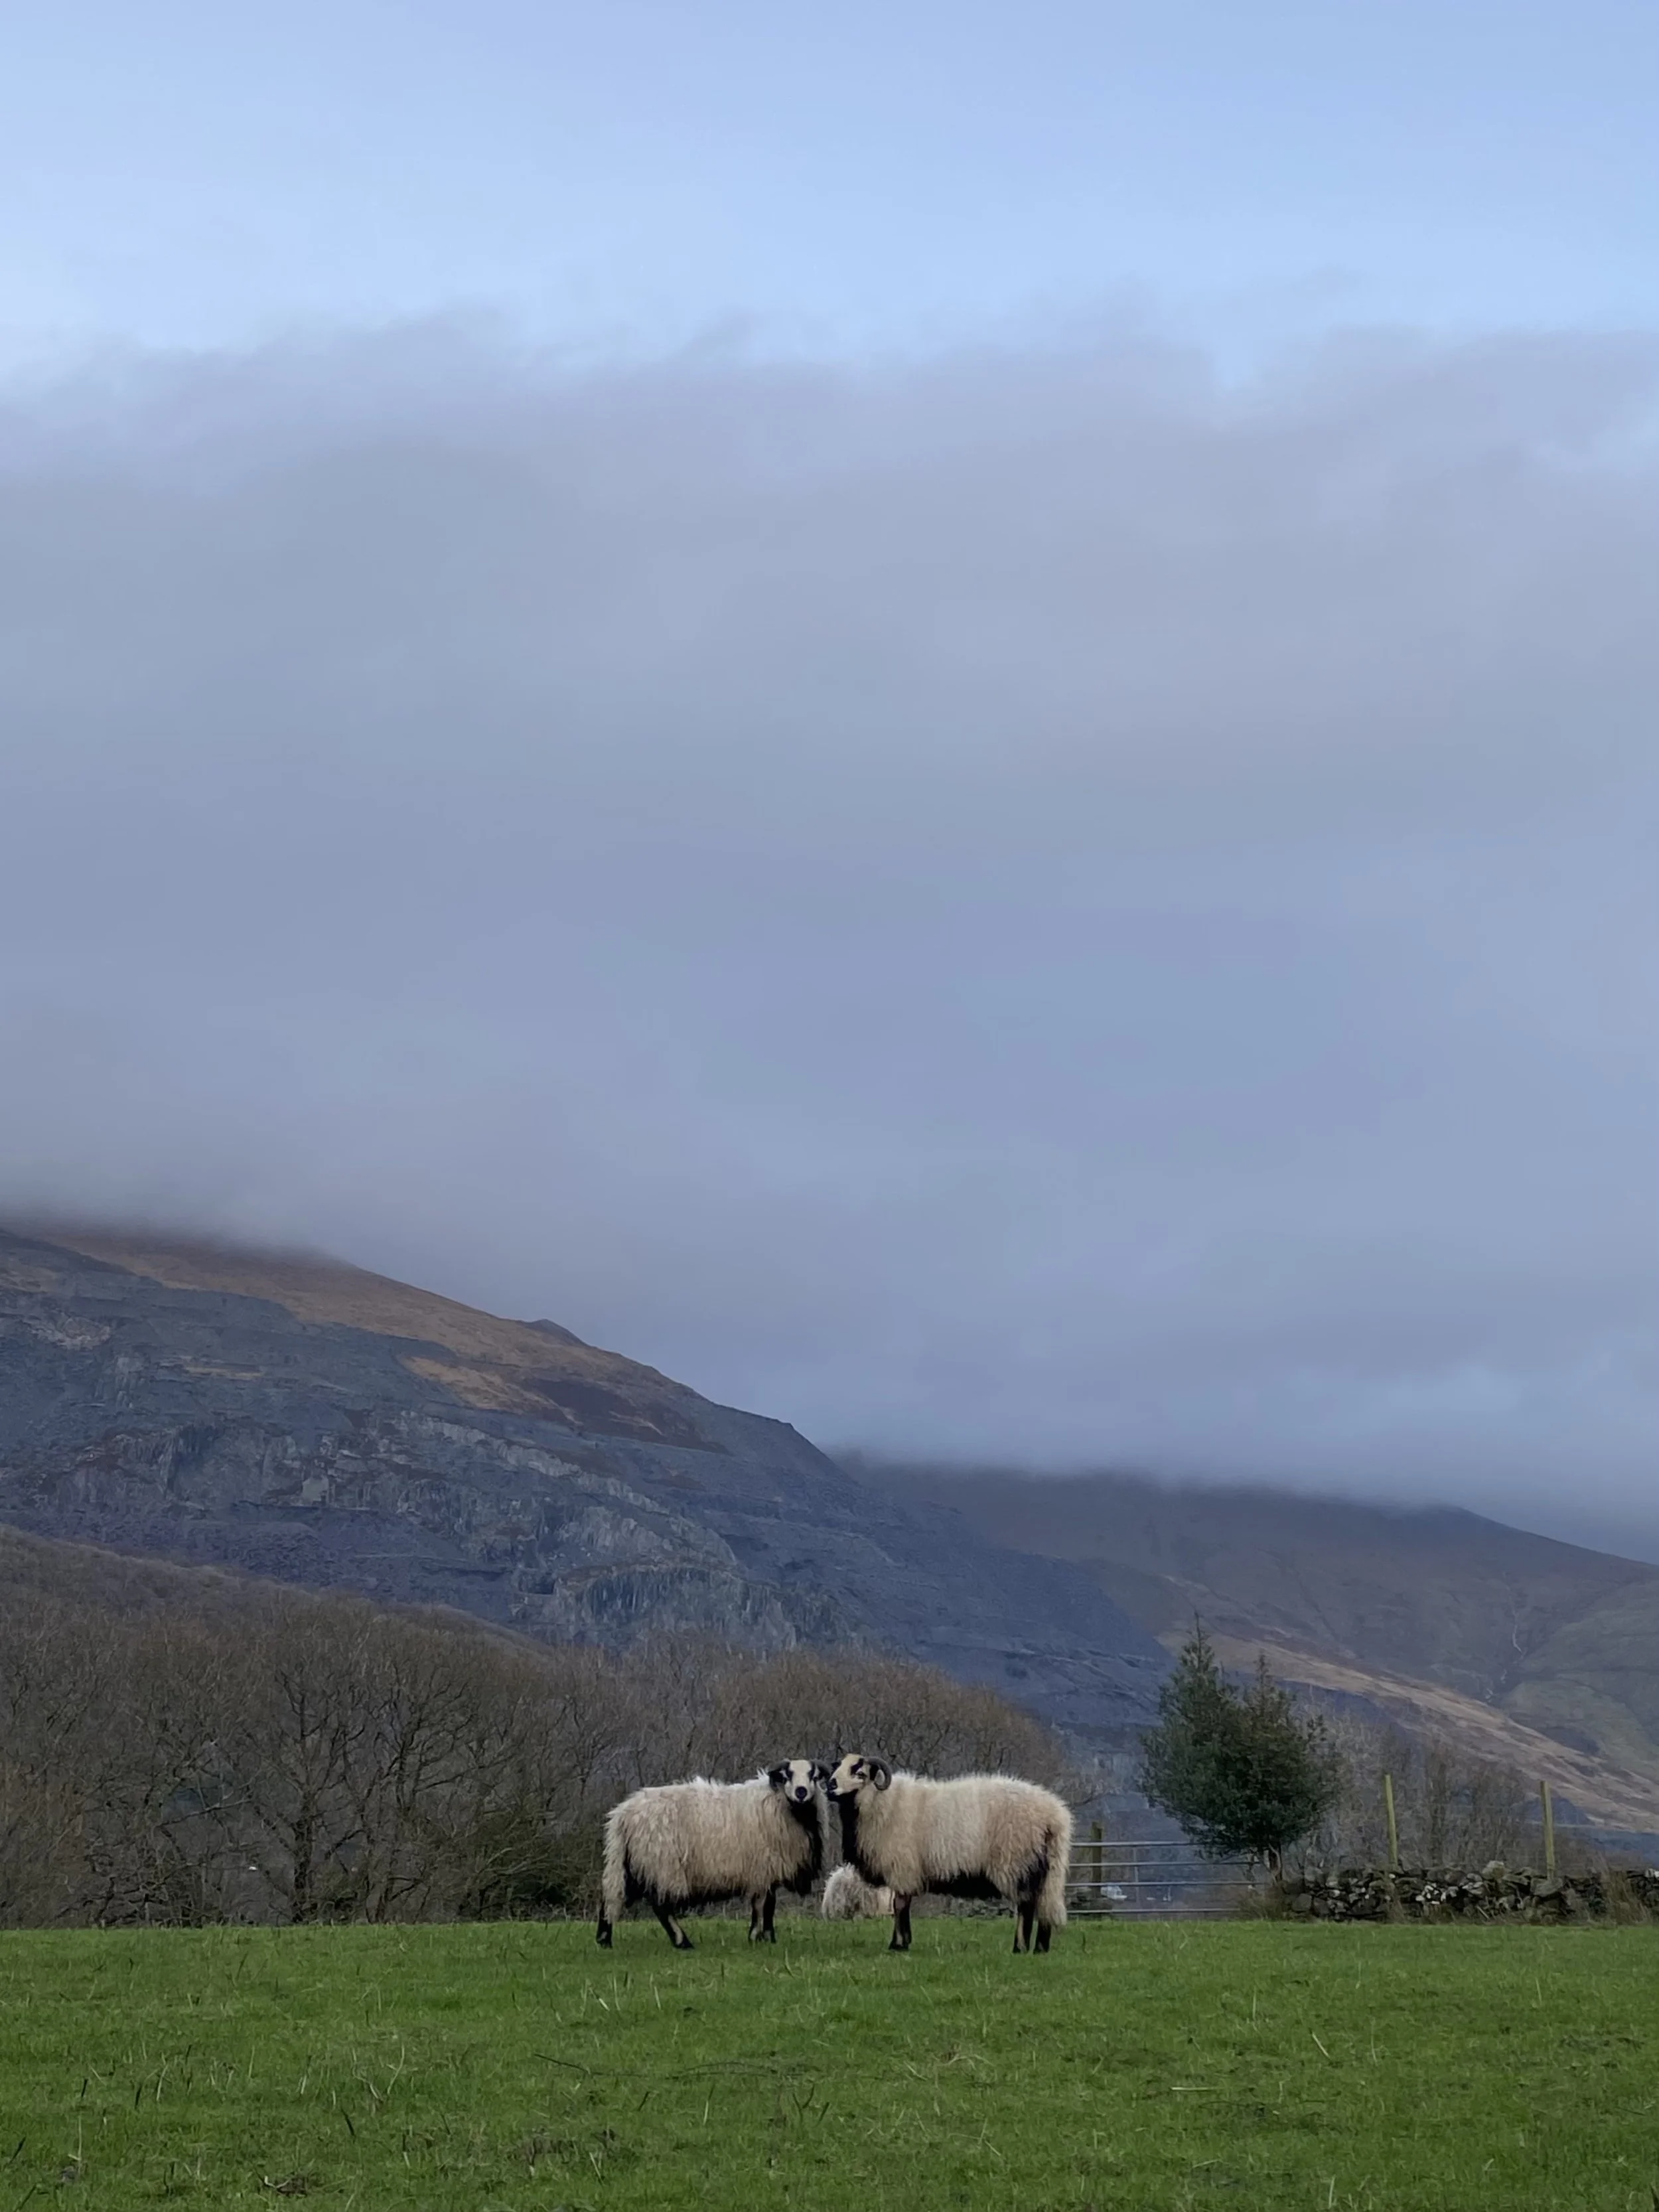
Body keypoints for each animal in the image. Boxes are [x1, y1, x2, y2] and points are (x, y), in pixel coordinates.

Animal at [596, 1760, 828, 1950]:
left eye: (814, 1776)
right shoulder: (762, 1868)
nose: (801, 1792)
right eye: (788, 1775)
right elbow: (762, 1905)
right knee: (660, 1906)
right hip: (661, 1862)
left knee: (612, 1896)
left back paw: (604, 1940)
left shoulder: (767, 1872)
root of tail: (622, 1814)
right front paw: (757, 1937)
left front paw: (769, 1939)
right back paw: (682, 1942)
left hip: (634, 1862)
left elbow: (769, 1906)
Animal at [825, 1752, 1072, 1953]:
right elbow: (904, 1906)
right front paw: (905, 1941)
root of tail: (1054, 1816)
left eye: (859, 1772)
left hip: (1015, 1861)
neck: (882, 1803)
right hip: (1048, 1867)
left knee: (1026, 1905)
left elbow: (900, 1905)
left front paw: (897, 1945)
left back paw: (1020, 1948)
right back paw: (1041, 1948)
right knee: (1045, 1903)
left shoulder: (902, 1868)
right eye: (838, 1766)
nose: (830, 1786)